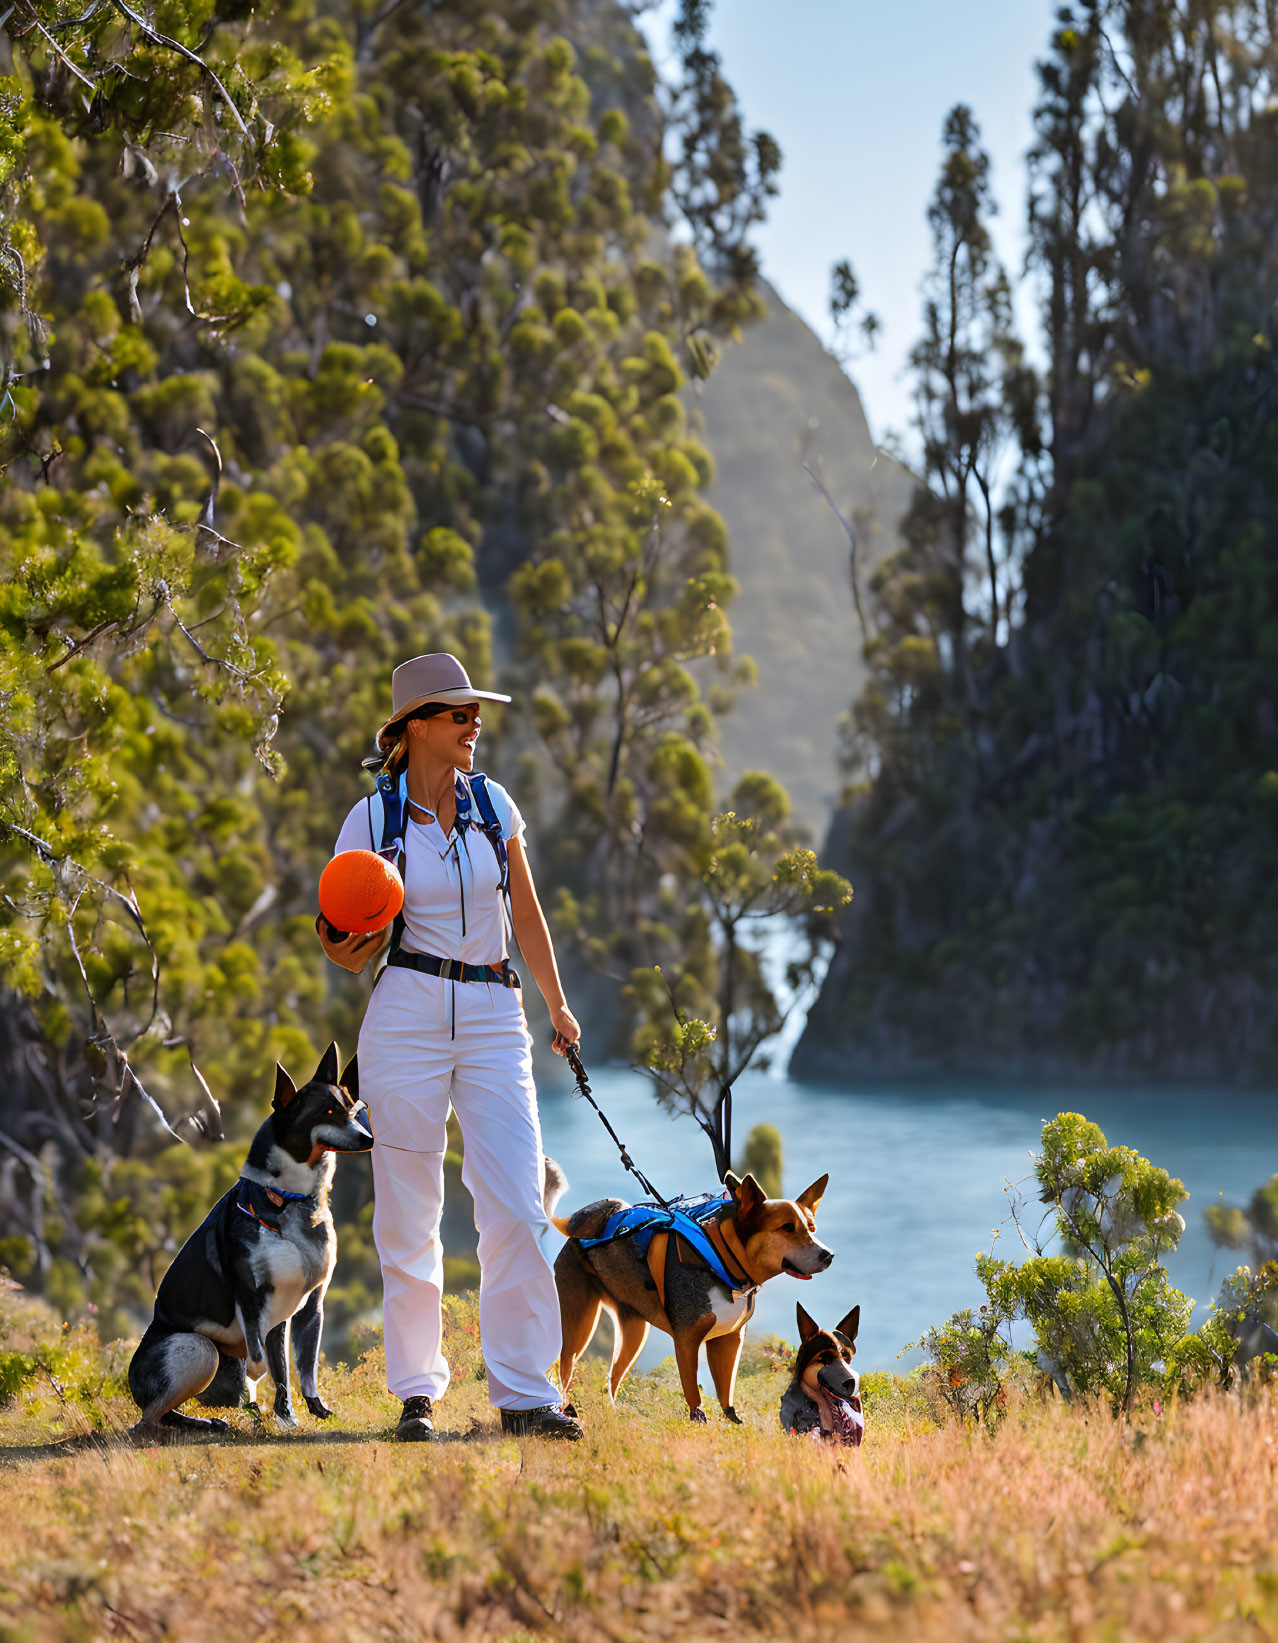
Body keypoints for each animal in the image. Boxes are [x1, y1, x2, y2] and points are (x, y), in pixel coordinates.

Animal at [551, 1169, 831, 1426]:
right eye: (787, 1228)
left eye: (812, 1228)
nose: (828, 1255)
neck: (721, 1259)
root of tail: (578, 1231)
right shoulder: (687, 1339)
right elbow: (693, 1392)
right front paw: (700, 1423)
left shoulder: (729, 1339)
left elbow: (726, 1391)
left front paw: (733, 1423)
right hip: (577, 1328)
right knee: (564, 1370)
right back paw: (566, 1411)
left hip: (634, 1332)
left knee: (613, 1376)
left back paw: (615, 1414)